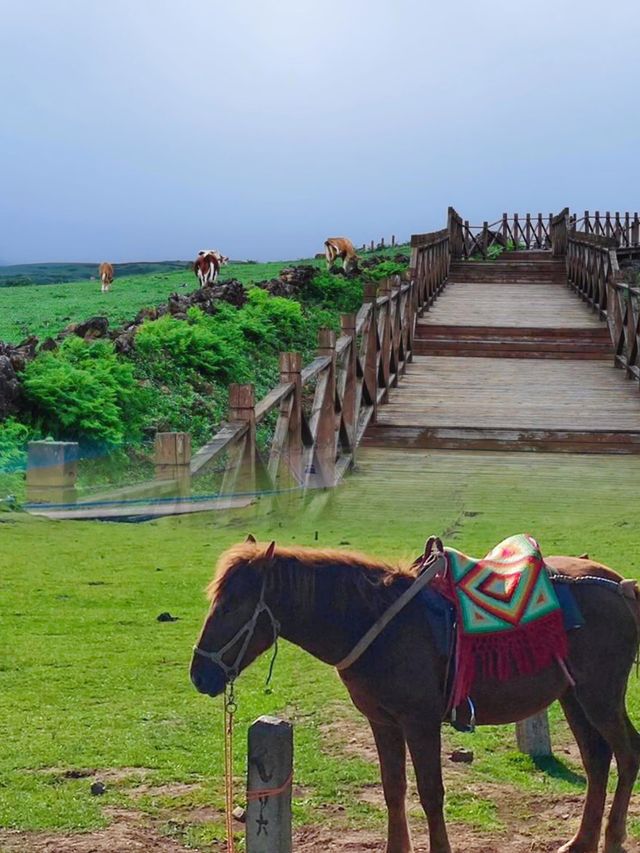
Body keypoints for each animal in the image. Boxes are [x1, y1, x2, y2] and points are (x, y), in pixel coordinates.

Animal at [190, 540, 640, 852]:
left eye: (230, 608)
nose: (199, 674)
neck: (380, 622)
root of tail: (619, 586)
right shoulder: (383, 722)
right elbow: (394, 789)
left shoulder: (420, 723)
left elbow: (431, 793)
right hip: (574, 697)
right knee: (597, 759)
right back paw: (581, 841)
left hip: (600, 697)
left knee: (626, 753)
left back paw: (613, 837)